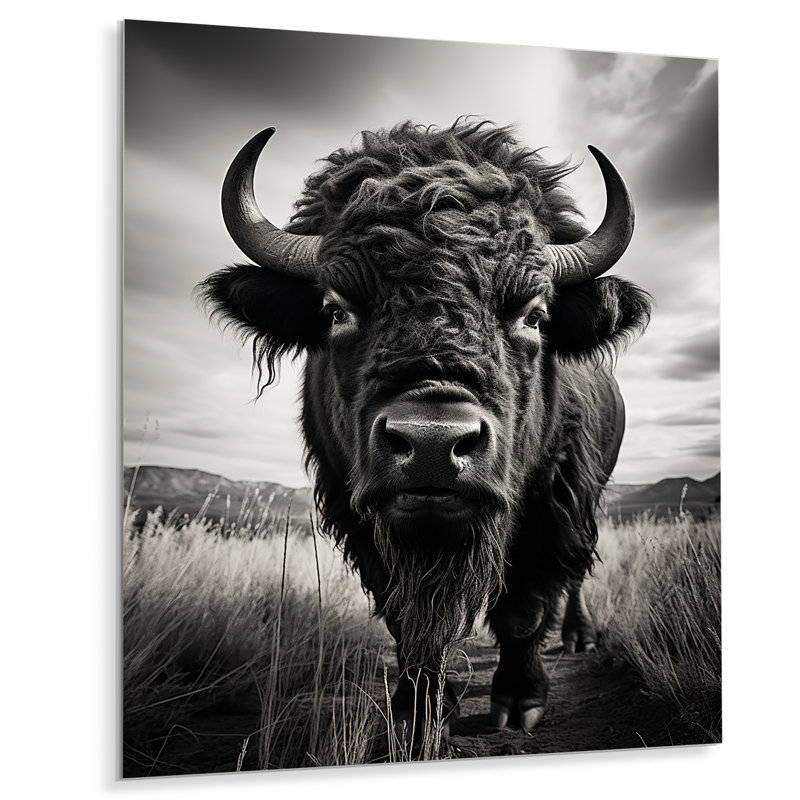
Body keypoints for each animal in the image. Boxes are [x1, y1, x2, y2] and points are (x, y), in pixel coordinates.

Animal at [199, 120, 650, 736]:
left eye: (534, 314)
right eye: (336, 309)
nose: (434, 445)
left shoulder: (550, 507)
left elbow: (523, 609)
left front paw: (519, 702)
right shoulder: (363, 517)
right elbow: (406, 621)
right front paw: (417, 712)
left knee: (574, 576)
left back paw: (579, 637)